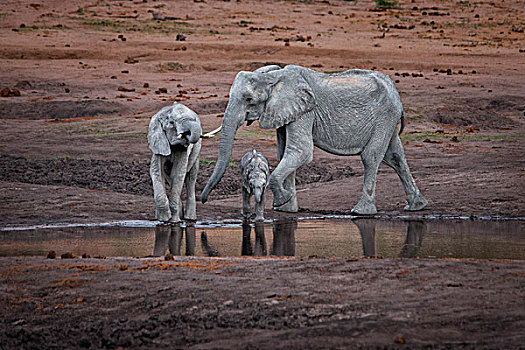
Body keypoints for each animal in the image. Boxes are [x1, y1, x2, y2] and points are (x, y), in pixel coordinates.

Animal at [201, 64, 426, 215]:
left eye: (249, 99)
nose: (203, 200)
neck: (275, 77)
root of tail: (395, 92)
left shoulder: (305, 110)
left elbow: (300, 151)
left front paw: (282, 201)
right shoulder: (286, 112)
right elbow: (285, 152)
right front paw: (287, 209)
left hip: (385, 116)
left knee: (371, 157)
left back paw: (361, 212)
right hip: (388, 119)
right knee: (395, 156)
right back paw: (417, 206)